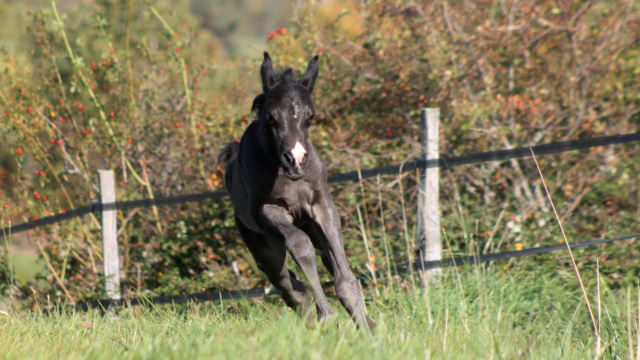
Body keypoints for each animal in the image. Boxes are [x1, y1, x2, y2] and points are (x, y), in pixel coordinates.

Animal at [218, 52, 372, 330]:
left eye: (310, 116)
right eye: (271, 116)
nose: (296, 160)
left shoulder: (323, 207)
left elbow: (345, 280)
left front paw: (368, 333)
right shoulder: (268, 212)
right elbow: (299, 245)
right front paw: (327, 316)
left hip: (311, 225)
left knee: (326, 261)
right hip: (263, 248)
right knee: (291, 288)